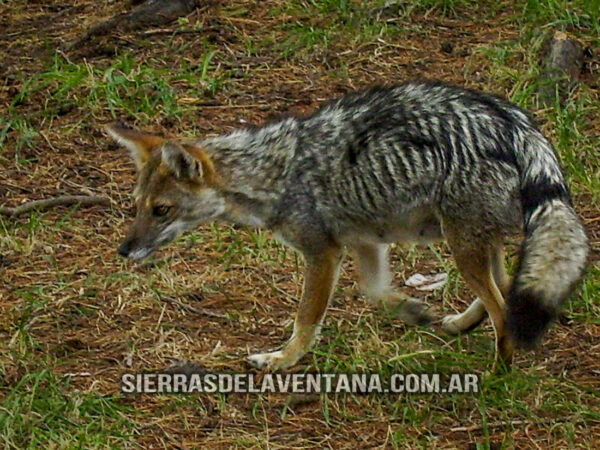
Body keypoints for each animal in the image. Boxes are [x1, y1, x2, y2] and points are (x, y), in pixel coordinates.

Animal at [105, 81, 588, 372]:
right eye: (137, 207)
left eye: (161, 211)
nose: (124, 251)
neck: (273, 173)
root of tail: (515, 123)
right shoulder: (365, 244)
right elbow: (373, 291)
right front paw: (411, 310)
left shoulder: (323, 254)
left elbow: (305, 320)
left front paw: (282, 359)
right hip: (474, 242)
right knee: (505, 290)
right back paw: (460, 325)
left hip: (462, 245)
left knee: (503, 307)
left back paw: (497, 374)